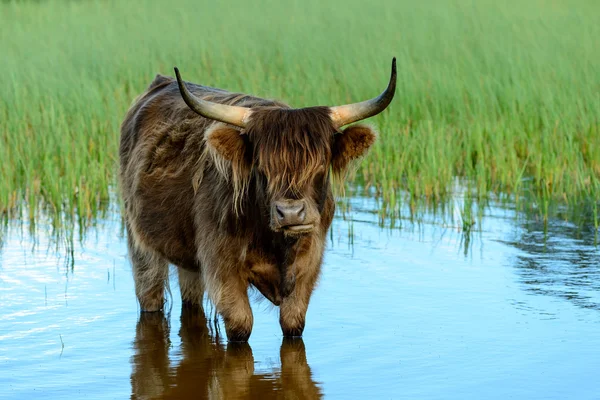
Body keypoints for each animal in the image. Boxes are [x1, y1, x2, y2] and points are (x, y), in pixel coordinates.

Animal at [119, 57, 396, 342]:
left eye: (321, 165)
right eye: (261, 168)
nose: (291, 213)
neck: (276, 243)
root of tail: (159, 84)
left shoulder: (308, 267)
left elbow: (293, 323)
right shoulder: (223, 270)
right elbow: (241, 325)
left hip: (189, 258)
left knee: (191, 298)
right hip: (140, 242)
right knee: (150, 294)